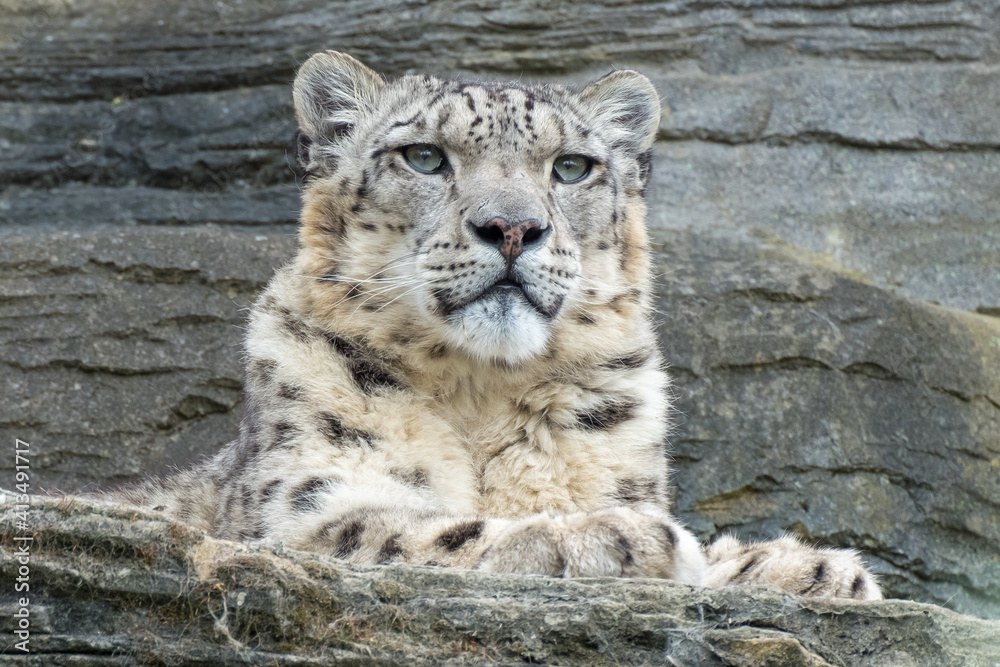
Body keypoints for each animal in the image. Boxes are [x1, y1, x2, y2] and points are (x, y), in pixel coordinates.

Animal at [111, 51, 881, 600]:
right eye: (424, 155)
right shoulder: (300, 508)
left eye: (572, 167)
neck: (480, 391)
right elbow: (412, 532)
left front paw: (811, 569)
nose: (512, 227)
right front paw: (617, 538)